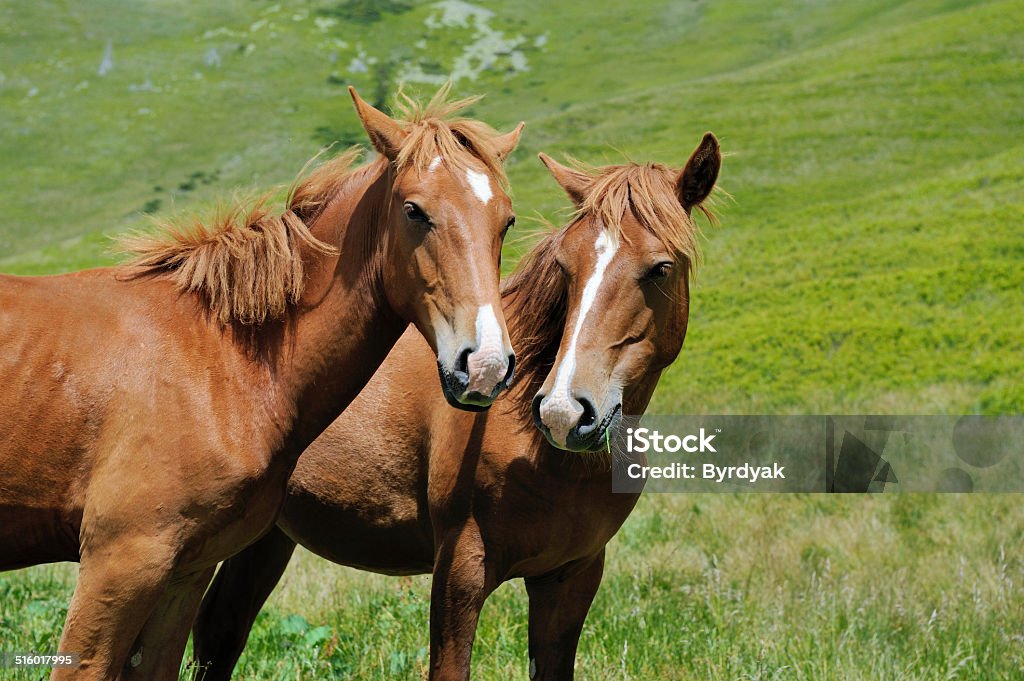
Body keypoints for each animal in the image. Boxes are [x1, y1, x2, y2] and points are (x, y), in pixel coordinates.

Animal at [0, 86, 524, 679]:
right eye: (414, 210)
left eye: (506, 222)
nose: (484, 365)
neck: (217, 359)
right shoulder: (119, 562)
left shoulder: (185, 571)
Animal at [190, 133, 720, 679]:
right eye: (565, 266)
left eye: (661, 268)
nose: (564, 412)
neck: (542, 456)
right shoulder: (460, 571)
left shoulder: (571, 578)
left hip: (268, 537)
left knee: (221, 632)